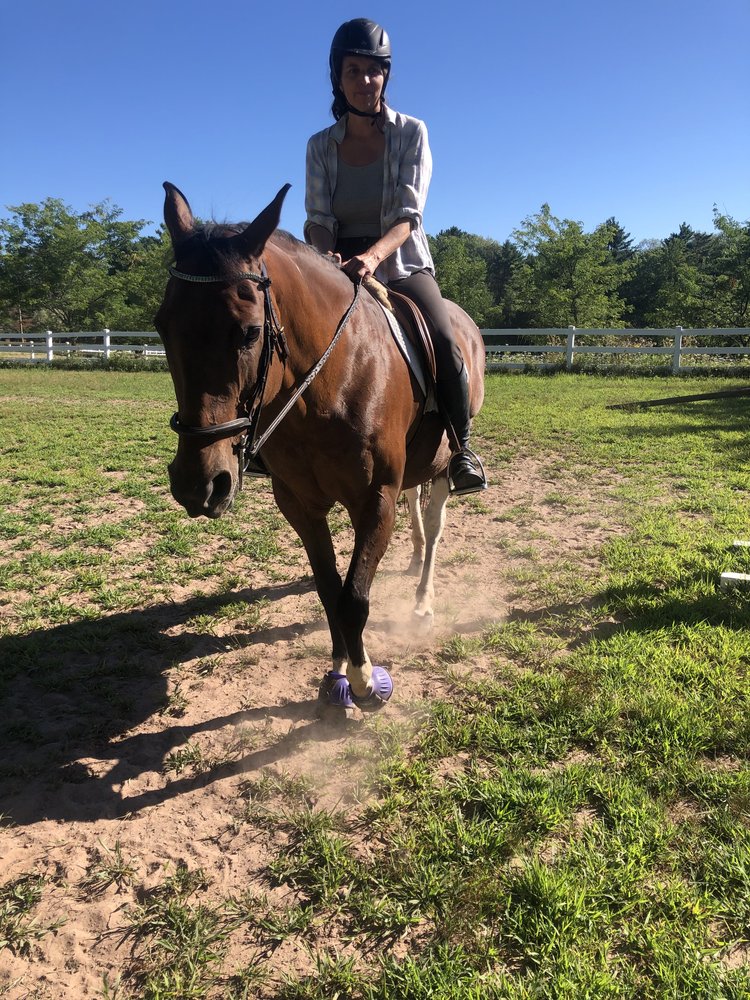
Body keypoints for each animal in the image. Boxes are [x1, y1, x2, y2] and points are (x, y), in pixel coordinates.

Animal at [156, 184, 490, 716]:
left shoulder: (374, 500)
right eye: (161, 326)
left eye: (249, 331)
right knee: (417, 511)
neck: (334, 380)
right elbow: (330, 590)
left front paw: (363, 681)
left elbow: (355, 597)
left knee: (436, 526)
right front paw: (337, 669)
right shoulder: (299, 504)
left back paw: (422, 602)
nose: (198, 484)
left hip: (444, 467)